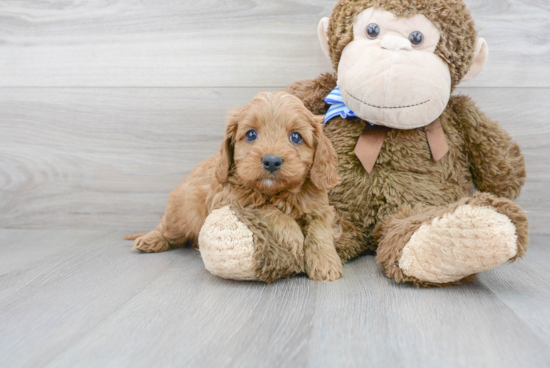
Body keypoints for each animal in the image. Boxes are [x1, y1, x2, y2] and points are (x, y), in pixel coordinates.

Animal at [126, 92, 344, 282]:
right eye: (251, 135)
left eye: (296, 137)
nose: (271, 161)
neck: (277, 193)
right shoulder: (231, 200)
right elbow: (268, 210)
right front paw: (293, 235)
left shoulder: (320, 208)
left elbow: (320, 232)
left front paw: (326, 264)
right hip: (180, 215)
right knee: (166, 228)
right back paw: (150, 240)